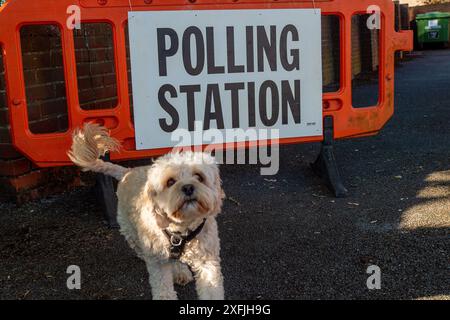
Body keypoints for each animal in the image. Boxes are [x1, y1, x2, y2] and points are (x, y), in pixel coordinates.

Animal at [67, 123, 225, 300]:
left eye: (199, 176)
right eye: (170, 182)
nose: (188, 187)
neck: (182, 229)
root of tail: (127, 171)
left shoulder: (207, 261)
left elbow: (211, 289)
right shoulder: (158, 262)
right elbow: (163, 291)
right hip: (130, 231)